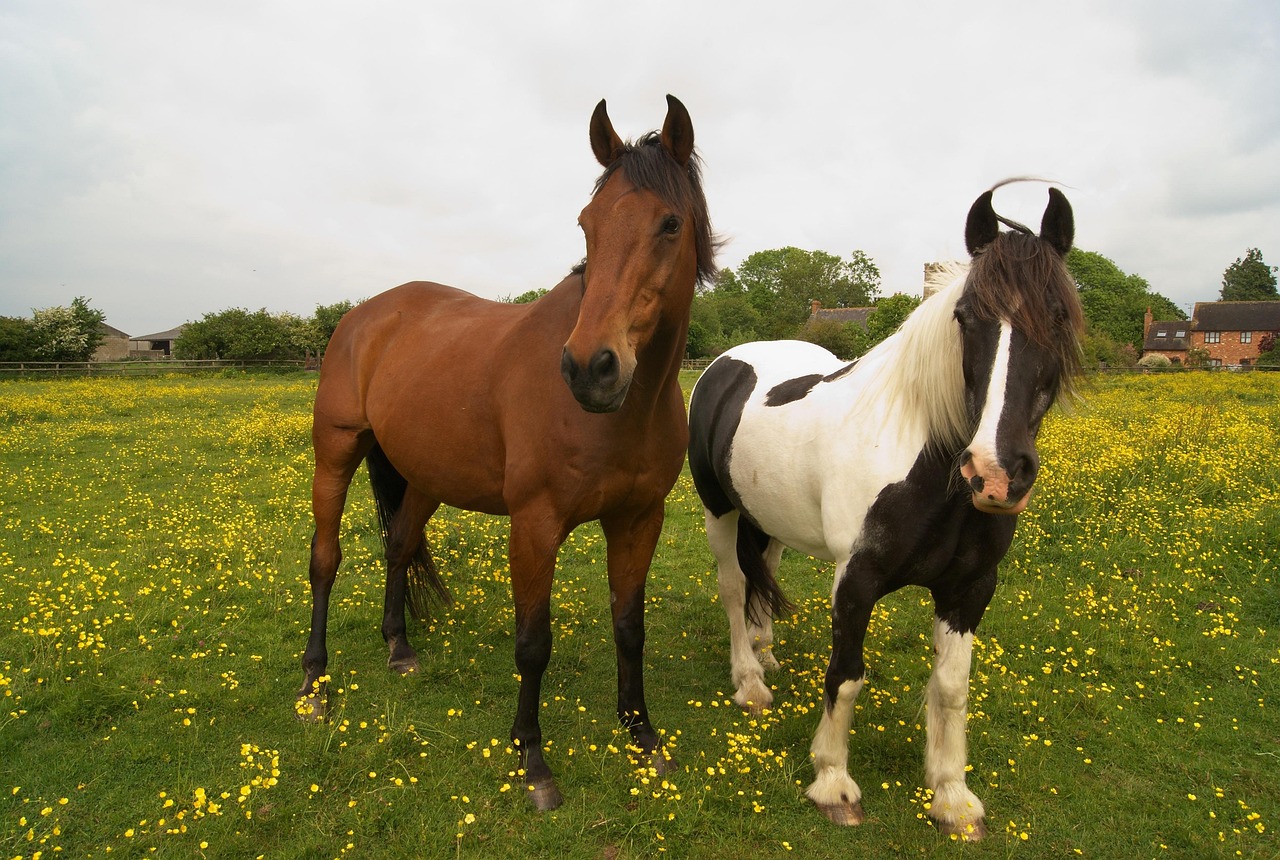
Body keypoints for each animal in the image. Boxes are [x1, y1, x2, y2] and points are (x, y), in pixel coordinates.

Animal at [298, 95, 717, 811]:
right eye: (587, 224)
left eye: (669, 223)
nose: (589, 368)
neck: (621, 412)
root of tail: (364, 316)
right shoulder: (536, 523)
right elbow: (532, 643)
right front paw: (533, 760)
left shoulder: (639, 519)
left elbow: (629, 627)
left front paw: (642, 736)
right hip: (337, 452)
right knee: (326, 560)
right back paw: (315, 686)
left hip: (424, 475)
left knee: (398, 544)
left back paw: (399, 649)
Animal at [686, 183, 1082, 840]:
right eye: (964, 318)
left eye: (1059, 313)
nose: (995, 471)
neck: (926, 463)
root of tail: (728, 362)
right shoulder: (857, 580)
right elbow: (845, 677)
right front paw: (832, 783)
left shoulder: (971, 589)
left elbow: (951, 687)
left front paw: (952, 796)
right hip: (719, 512)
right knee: (732, 584)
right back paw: (749, 681)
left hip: (767, 518)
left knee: (761, 575)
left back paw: (766, 651)